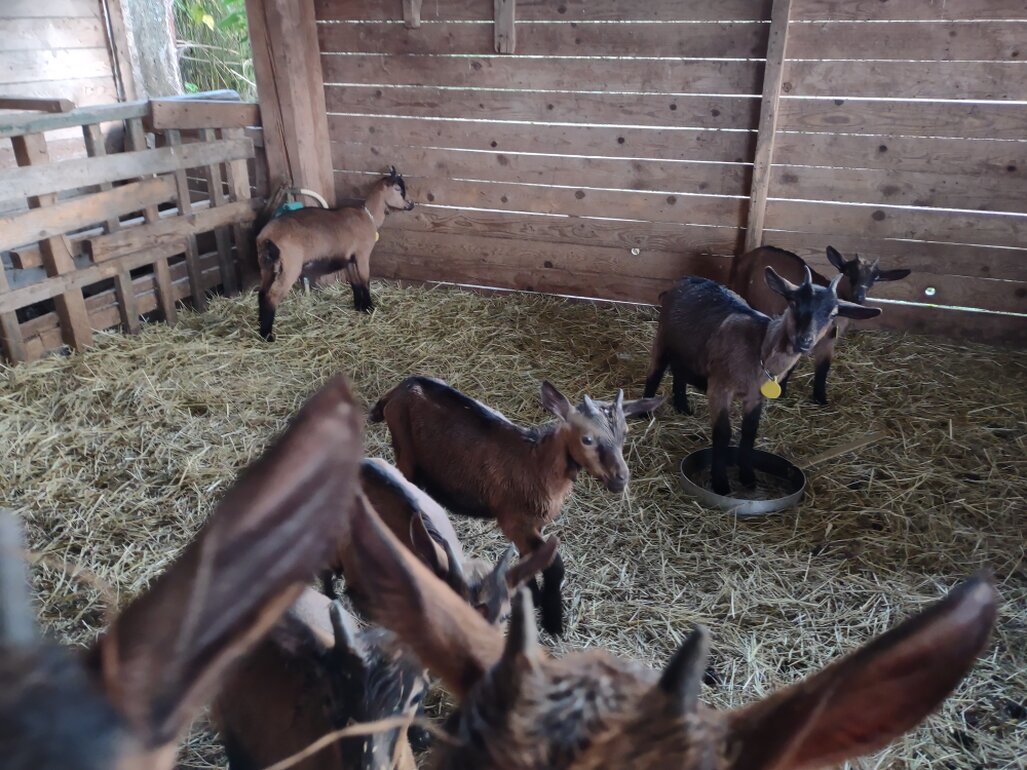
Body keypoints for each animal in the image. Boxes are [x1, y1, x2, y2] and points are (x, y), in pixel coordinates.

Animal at [256, 167, 415, 341]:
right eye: (398, 189)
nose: (411, 204)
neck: (368, 216)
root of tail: (266, 237)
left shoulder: (349, 259)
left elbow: (355, 283)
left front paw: (359, 307)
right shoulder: (362, 254)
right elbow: (365, 281)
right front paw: (370, 308)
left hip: (266, 266)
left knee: (262, 293)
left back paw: (260, 327)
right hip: (290, 267)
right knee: (271, 296)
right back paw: (268, 335)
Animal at [369, 376, 663, 636]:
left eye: (624, 433)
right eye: (587, 439)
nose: (620, 478)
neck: (536, 462)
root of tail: (398, 389)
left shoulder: (534, 524)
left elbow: (529, 560)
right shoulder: (515, 522)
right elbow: (554, 564)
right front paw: (552, 620)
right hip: (404, 448)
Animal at [643, 271, 880, 496]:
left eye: (833, 314)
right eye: (794, 303)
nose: (805, 340)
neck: (759, 348)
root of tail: (687, 279)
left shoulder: (756, 397)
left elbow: (749, 433)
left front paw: (748, 479)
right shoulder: (719, 388)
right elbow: (723, 433)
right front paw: (720, 484)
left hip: (688, 351)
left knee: (679, 373)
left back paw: (682, 407)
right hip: (663, 339)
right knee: (655, 373)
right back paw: (645, 412)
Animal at [729, 245, 910, 404]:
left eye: (874, 279)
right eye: (848, 272)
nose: (859, 296)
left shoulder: (829, 341)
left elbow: (824, 367)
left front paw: (821, 398)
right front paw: (782, 392)